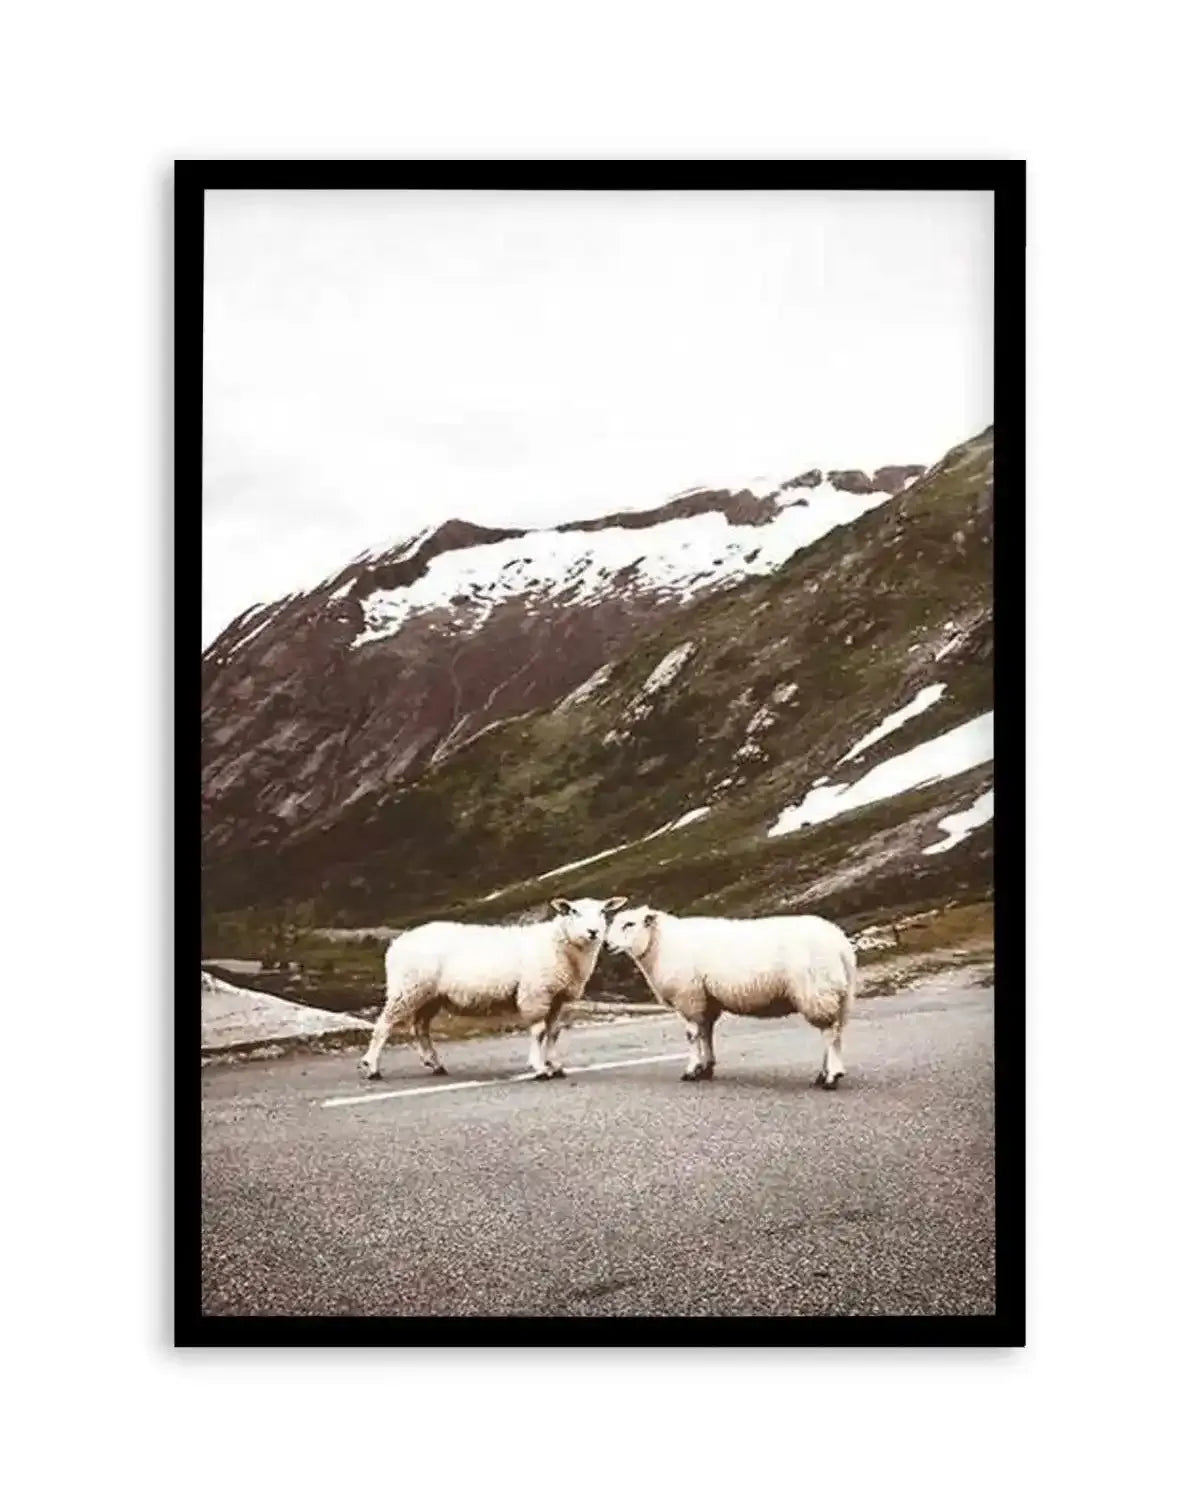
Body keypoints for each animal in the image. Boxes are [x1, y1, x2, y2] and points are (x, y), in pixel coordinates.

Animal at [358, 896, 628, 1081]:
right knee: (384, 1025)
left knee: (420, 1027)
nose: (593, 932)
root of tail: (398, 942)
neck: (560, 946)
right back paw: (372, 1067)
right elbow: (539, 1031)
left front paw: (555, 1065)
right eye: (573, 911)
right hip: (407, 988)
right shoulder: (535, 994)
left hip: (429, 994)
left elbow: (553, 1032)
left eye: (603, 911)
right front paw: (539, 1068)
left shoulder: (557, 999)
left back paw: (435, 1064)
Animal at [605, 907, 856, 1086]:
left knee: (829, 1033)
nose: (606, 944)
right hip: (838, 993)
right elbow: (706, 1033)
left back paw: (831, 1076)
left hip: (817, 990)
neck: (661, 945)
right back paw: (824, 1074)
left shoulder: (688, 996)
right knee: (836, 1032)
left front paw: (691, 1070)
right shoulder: (706, 1000)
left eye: (629, 924)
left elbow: (692, 1035)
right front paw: (706, 1068)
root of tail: (841, 944)